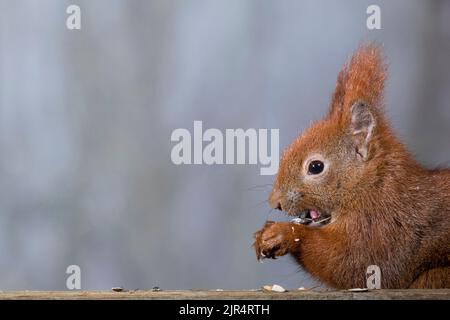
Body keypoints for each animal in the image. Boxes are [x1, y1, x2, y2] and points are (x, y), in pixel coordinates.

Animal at [253, 43, 450, 288]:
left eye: (315, 167)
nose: (275, 202)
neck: (373, 186)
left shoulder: (385, 227)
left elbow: (353, 264)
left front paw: (284, 233)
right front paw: (262, 235)